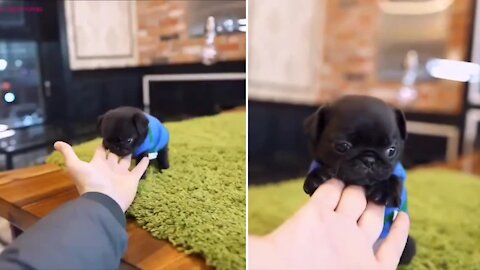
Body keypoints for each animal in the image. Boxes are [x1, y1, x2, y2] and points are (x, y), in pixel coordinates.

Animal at [304, 95, 416, 266]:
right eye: (343, 146)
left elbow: (393, 177)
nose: (369, 160)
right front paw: (317, 177)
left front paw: (385, 190)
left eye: (391, 150)